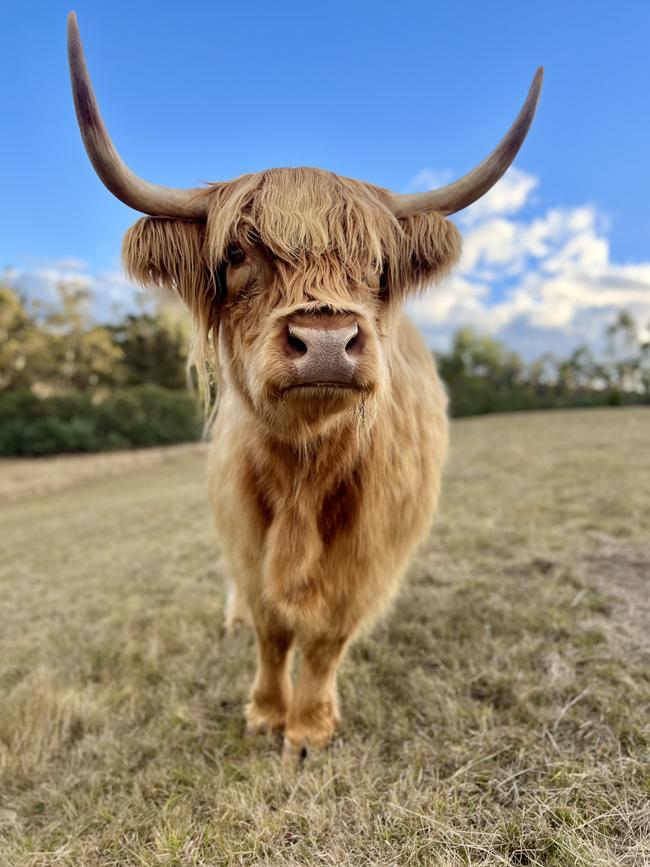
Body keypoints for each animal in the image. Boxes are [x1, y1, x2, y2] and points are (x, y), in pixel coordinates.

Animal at [68, 11, 540, 760]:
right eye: (237, 253)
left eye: (377, 263)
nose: (325, 342)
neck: (304, 467)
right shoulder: (245, 531)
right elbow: (271, 630)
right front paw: (266, 713)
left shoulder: (370, 553)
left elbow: (323, 640)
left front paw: (309, 727)